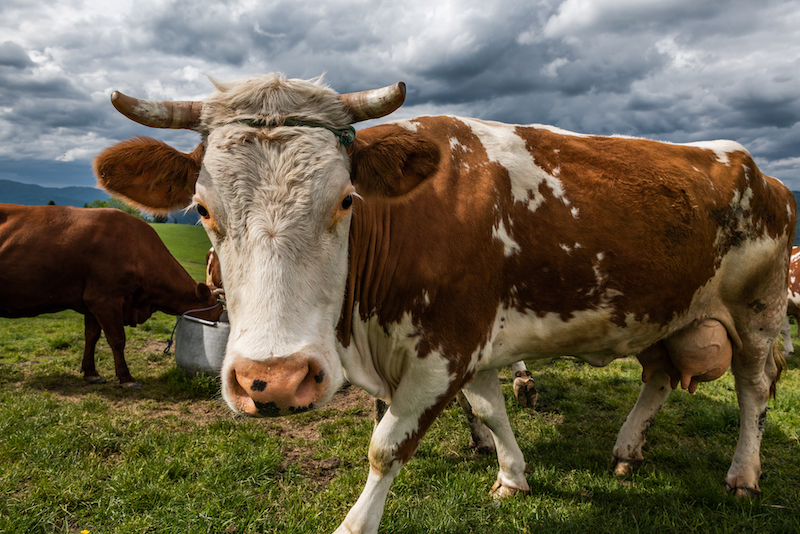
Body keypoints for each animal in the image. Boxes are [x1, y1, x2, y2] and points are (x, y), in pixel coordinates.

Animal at [0, 205, 222, 390]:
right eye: (217, 312)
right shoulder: (105, 300)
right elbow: (117, 340)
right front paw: (126, 378)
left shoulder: (91, 303)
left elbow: (91, 337)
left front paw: (91, 373)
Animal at [92, 74, 792, 532]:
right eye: (203, 209)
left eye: (345, 200)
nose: (275, 379)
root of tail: (765, 175)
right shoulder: (474, 341)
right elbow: (489, 409)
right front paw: (511, 475)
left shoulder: (446, 347)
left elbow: (386, 447)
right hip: (663, 311)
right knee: (659, 377)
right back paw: (626, 452)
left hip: (758, 311)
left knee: (754, 389)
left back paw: (743, 476)